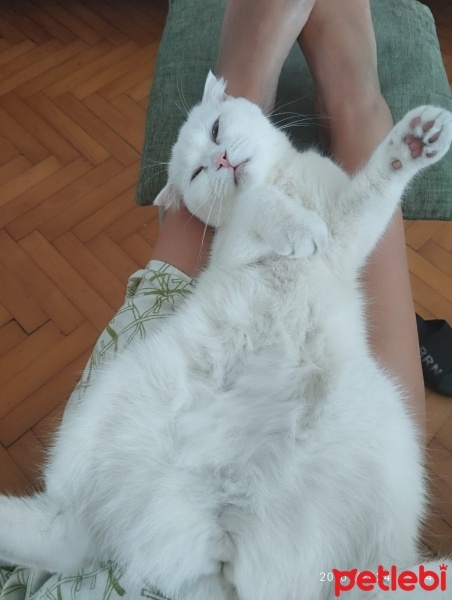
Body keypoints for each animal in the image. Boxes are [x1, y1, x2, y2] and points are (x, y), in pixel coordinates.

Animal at [0, 71, 452, 600]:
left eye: (216, 130)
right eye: (198, 174)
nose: (219, 160)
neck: (282, 182)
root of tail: (218, 549)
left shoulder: (348, 231)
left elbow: (372, 191)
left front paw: (415, 143)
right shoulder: (243, 238)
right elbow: (257, 204)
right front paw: (300, 228)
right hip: (107, 409)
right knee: (68, 537)